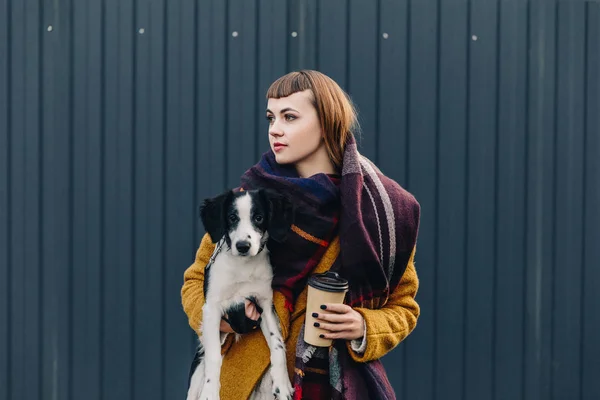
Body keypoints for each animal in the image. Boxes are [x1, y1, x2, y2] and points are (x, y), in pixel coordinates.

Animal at [185, 188, 292, 400]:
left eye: (259, 217)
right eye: (232, 218)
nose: (243, 246)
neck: (243, 267)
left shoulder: (264, 305)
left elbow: (277, 345)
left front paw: (282, 384)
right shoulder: (212, 309)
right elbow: (214, 355)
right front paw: (210, 392)